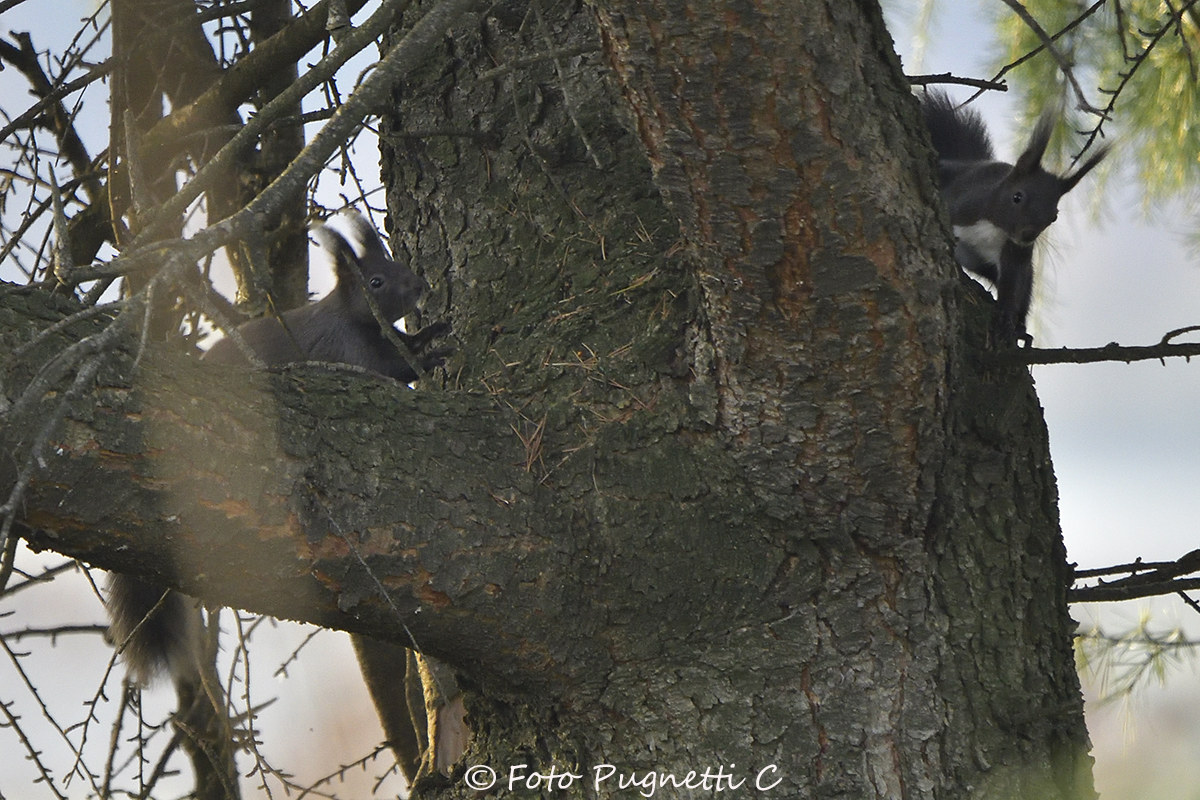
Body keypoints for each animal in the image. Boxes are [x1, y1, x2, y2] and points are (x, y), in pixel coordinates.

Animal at [105, 212, 456, 782]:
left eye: (398, 264)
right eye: (376, 281)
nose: (421, 286)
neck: (356, 322)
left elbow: (407, 350)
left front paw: (435, 331)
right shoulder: (350, 355)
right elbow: (397, 371)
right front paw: (436, 351)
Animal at [920, 90, 1108, 344]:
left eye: (1054, 217)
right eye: (1017, 197)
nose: (1028, 236)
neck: (994, 226)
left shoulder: (1015, 254)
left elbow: (1012, 283)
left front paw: (1007, 317)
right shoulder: (963, 205)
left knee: (1022, 289)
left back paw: (1021, 326)